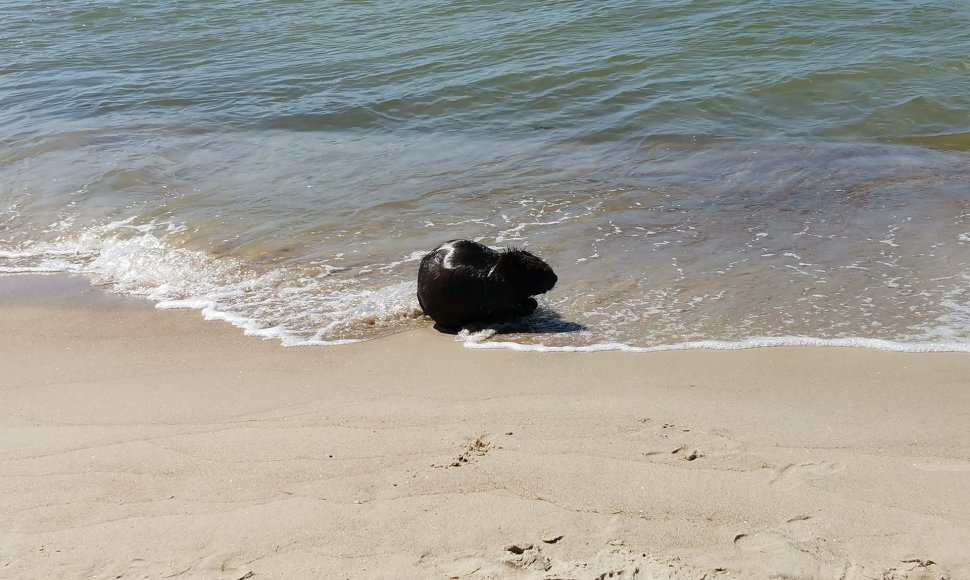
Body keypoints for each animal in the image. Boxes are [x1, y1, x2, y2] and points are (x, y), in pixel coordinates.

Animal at [416, 239, 560, 330]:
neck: (492, 272)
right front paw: (528, 306)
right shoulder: (495, 295)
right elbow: (508, 307)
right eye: (533, 269)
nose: (555, 277)